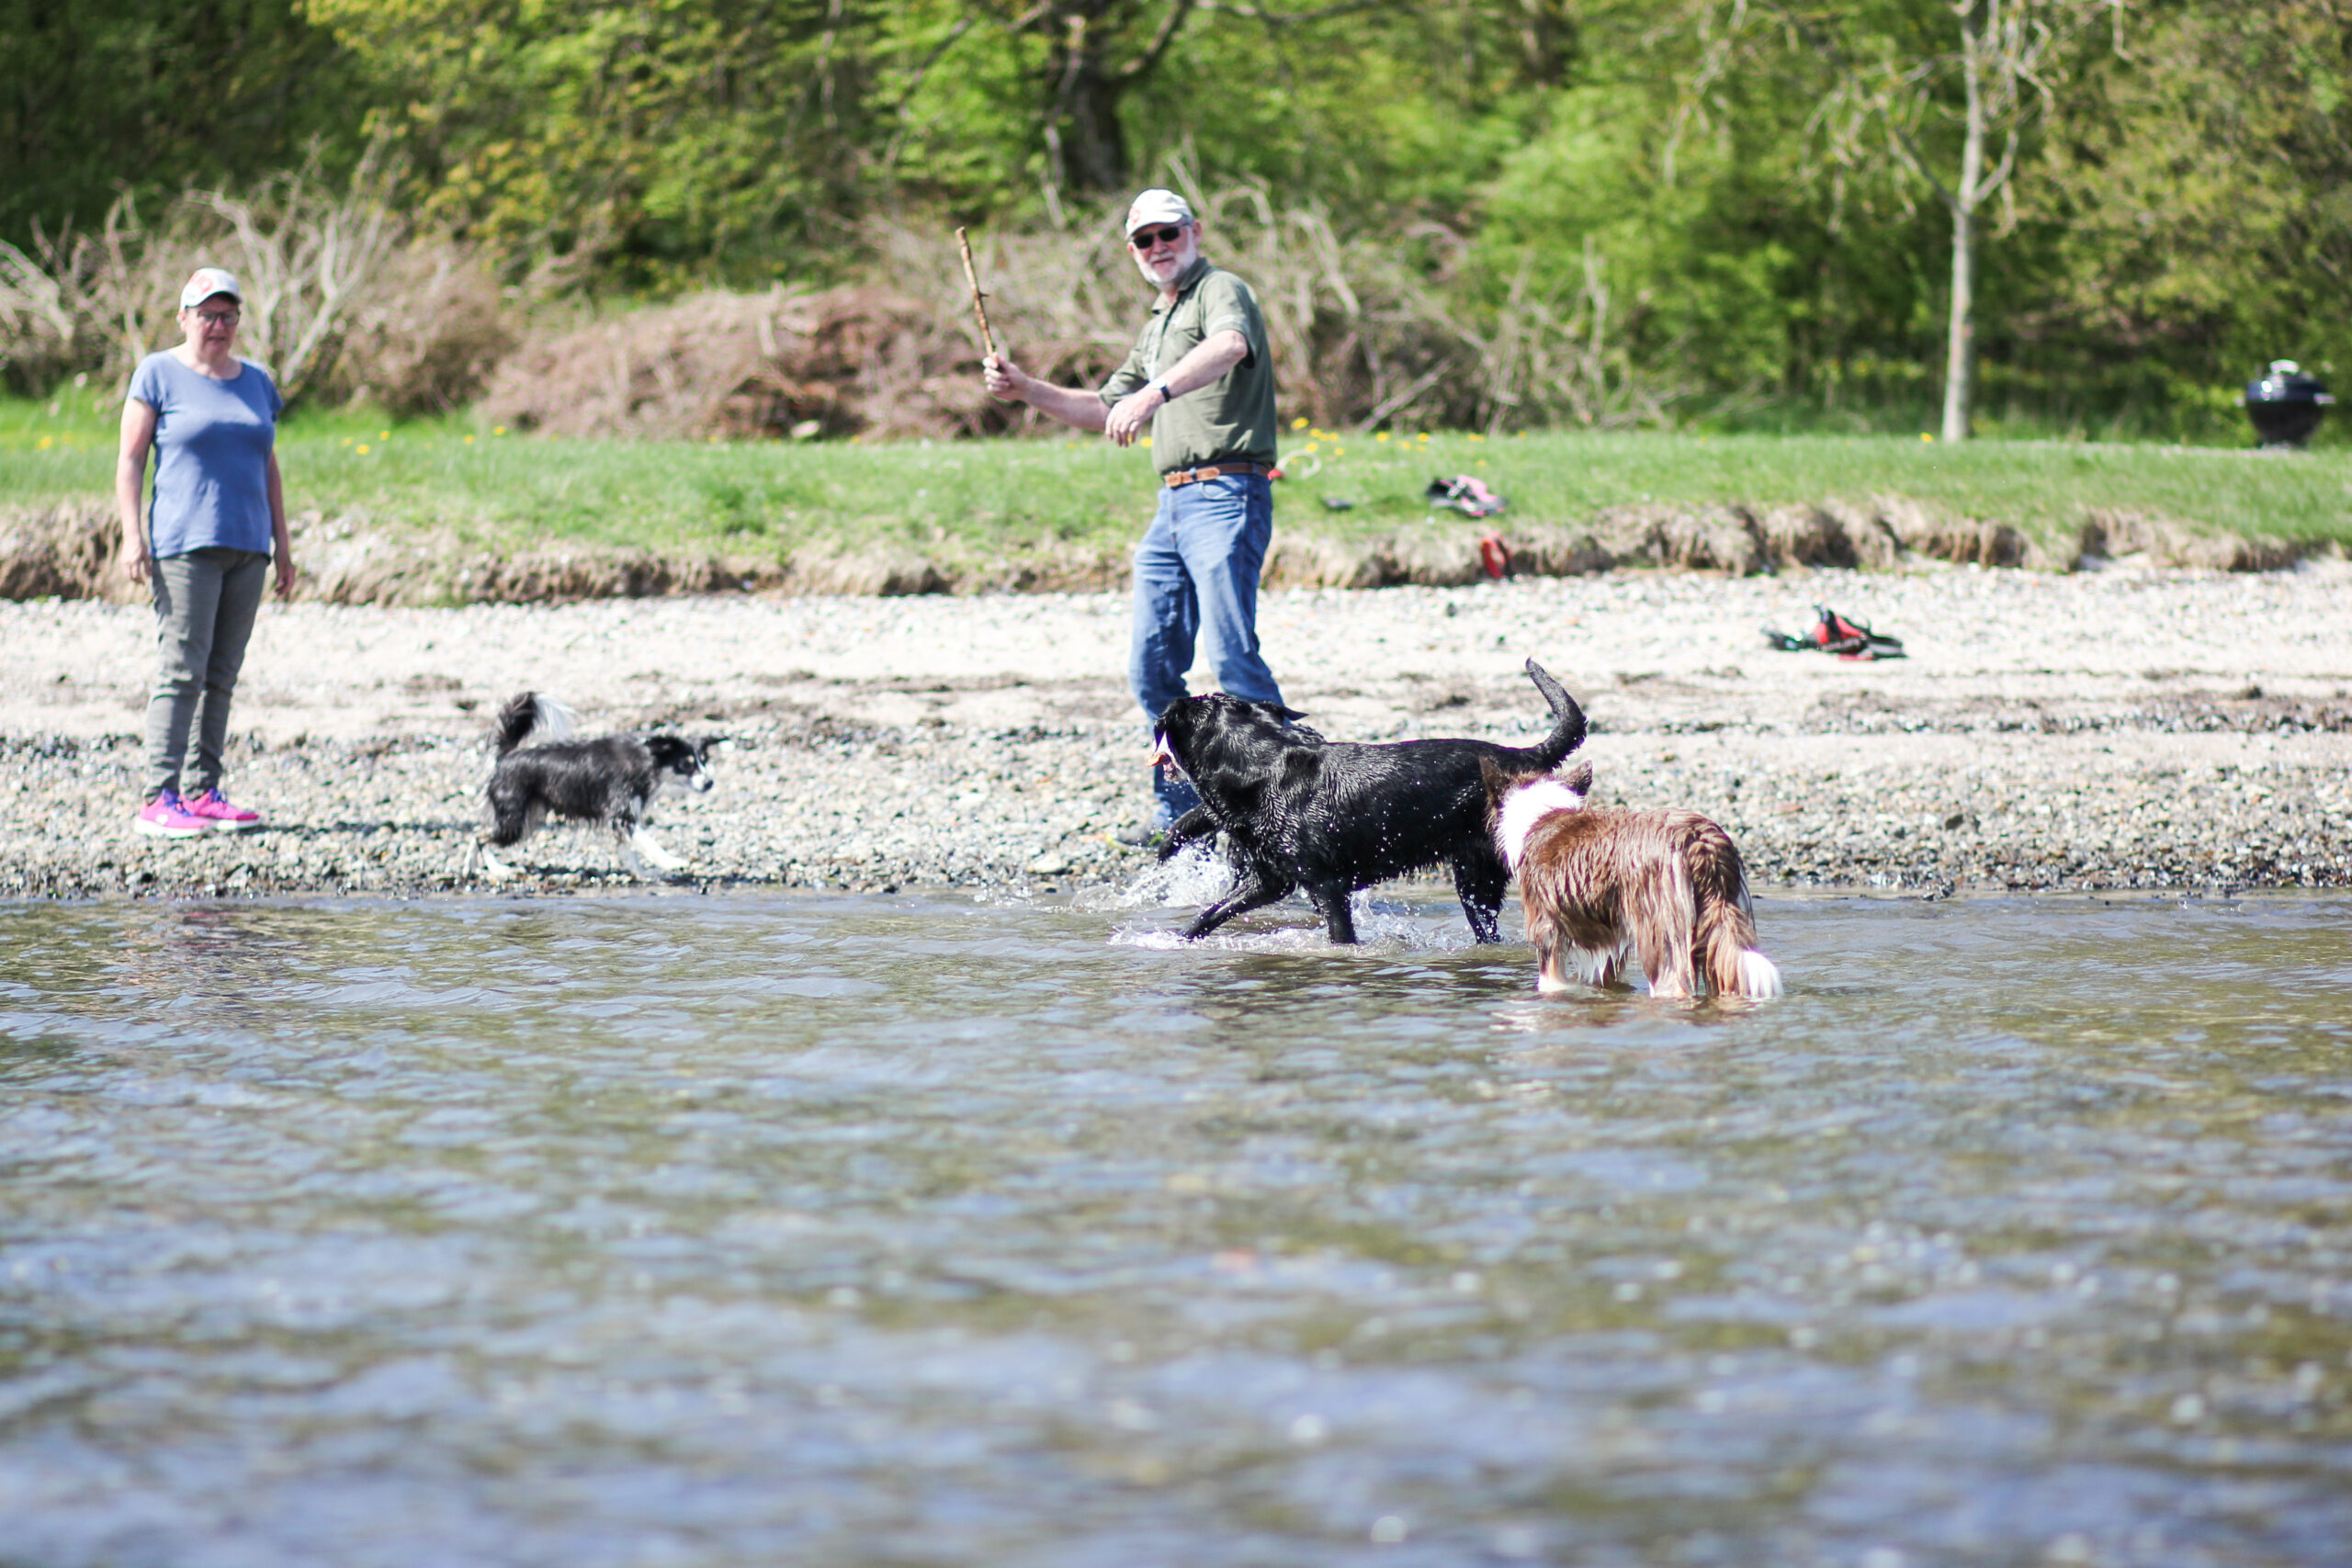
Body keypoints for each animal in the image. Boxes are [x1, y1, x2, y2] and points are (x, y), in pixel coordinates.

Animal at [1148, 658, 1589, 944]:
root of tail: (1520, 755)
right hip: (1475, 878)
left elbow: (1339, 936)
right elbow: (1210, 912)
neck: (1258, 767)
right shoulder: (1268, 880)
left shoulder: (1326, 887)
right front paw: (1176, 942)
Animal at [1486, 761, 1778, 1001]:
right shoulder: (1610, 941)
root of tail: (1699, 840)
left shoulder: (1546, 930)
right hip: (1723, 916)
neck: (1542, 813)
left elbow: (1551, 981)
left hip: (1660, 931)